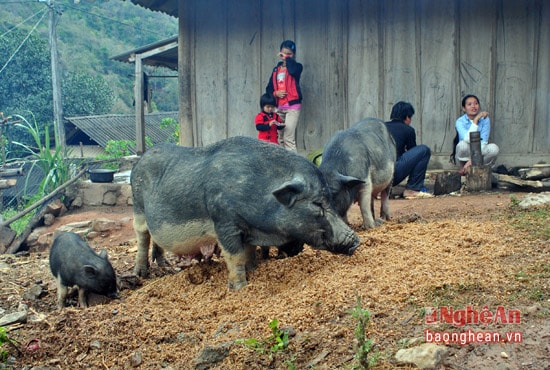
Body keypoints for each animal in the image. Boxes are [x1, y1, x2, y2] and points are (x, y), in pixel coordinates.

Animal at [130, 137, 362, 290]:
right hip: (138, 208)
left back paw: (165, 266)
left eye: (330, 199)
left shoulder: (249, 229)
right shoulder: (224, 221)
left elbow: (248, 252)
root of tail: (140, 160)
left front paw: (253, 269)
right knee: (142, 236)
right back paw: (141, 274)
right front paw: (240, 288)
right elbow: (235, 256)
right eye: (317, 204)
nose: (355, 241)